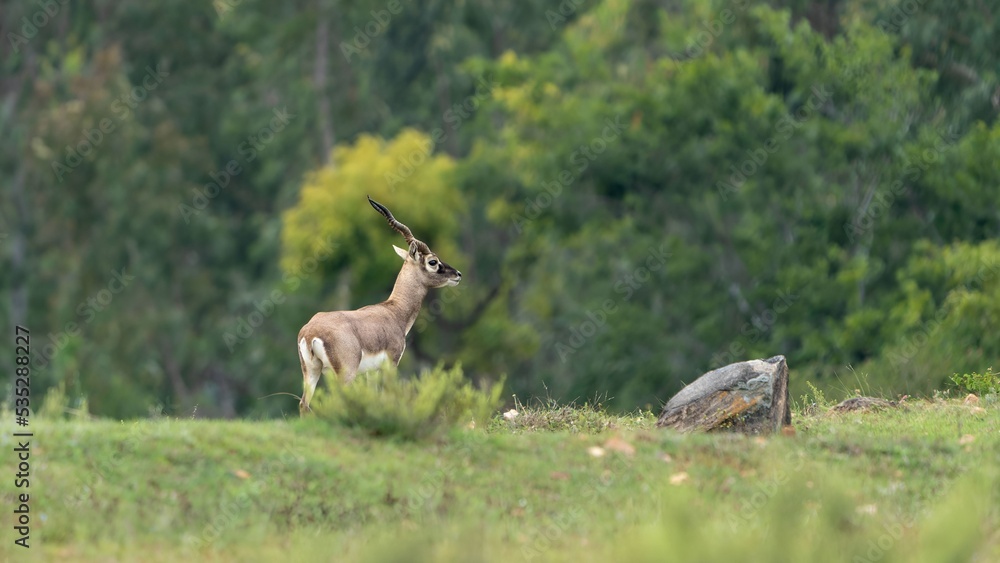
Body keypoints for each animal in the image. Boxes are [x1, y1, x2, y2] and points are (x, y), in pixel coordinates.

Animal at [296, 196, 462, 413]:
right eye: (433, 262)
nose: (458, 274)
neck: (394, 311)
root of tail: (310, 332)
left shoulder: (371, 372)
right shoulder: (392, 363)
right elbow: (387, 397)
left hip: (311, 372)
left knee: (304, 404)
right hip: (345, 374)